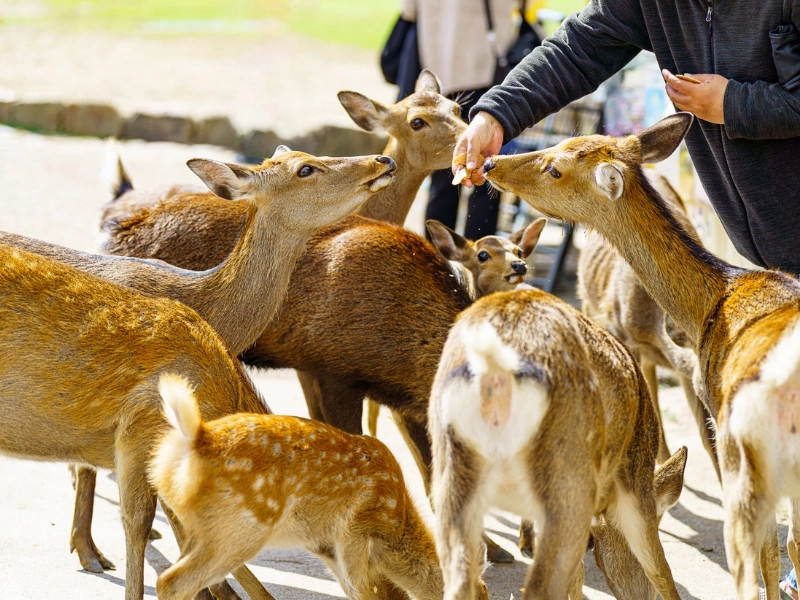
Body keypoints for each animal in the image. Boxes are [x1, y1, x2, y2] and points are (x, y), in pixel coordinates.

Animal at [149, 372, 490, 600]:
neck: (396, 524)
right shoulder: (353, 532)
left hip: (200, 528)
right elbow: (362, 590)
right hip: (240, 528)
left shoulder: (328, 546)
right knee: (172, 581)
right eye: (478, 596)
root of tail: (197, 439)